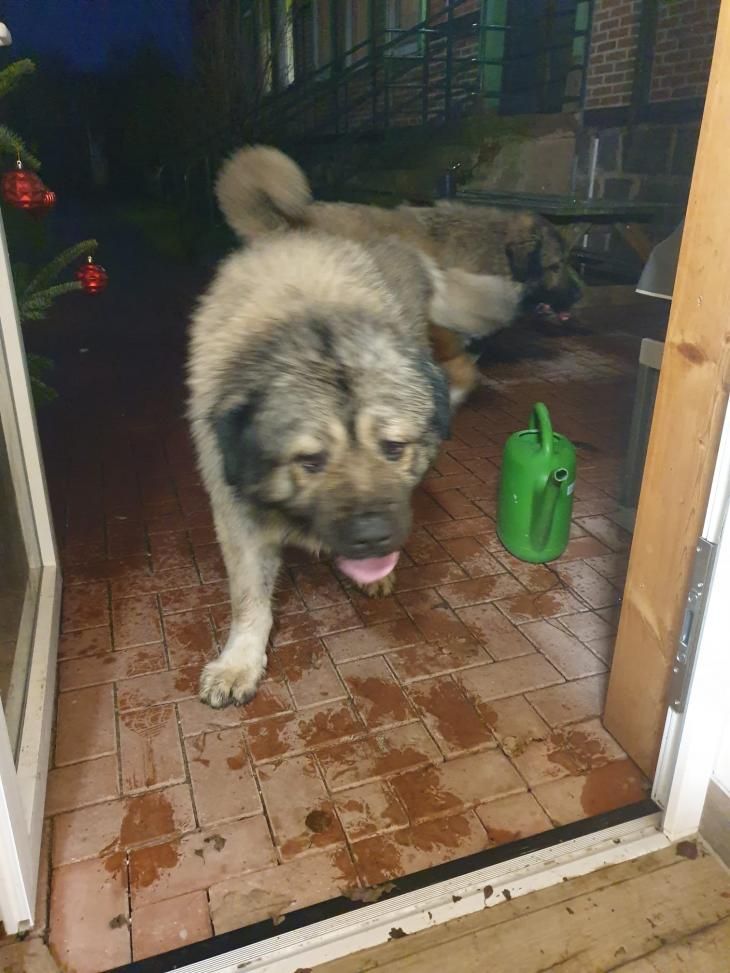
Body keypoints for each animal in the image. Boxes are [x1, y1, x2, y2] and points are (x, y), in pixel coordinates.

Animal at [188, 205, 529, 706]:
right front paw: (240, 660)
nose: (371, 537)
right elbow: (249, 597)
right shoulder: (237, 513)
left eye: (393, 448)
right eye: (310, 461)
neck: (310, 318)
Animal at [215, 145, 582, 406]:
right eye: (556, 265)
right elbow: (463, 368)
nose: (581, 294)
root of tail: (282, 225)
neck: (487, 248)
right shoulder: (436, 328)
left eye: (567, 260)